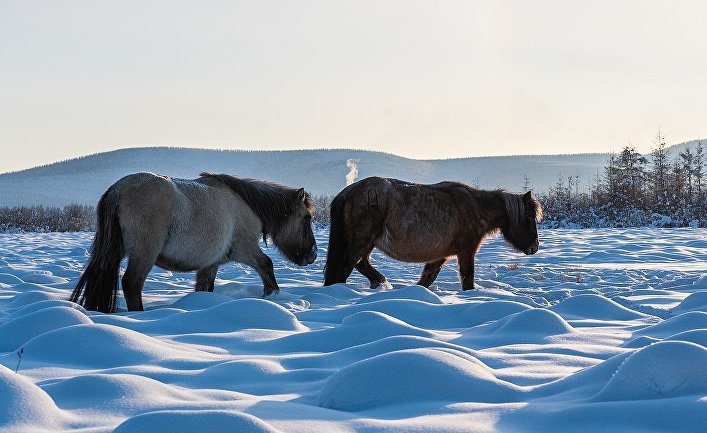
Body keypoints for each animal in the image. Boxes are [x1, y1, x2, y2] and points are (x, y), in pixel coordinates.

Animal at [70, 171, 318, 310]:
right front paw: (273, 296)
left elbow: (204, 288)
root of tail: (117, 190)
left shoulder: (211, 264)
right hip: (143, 254)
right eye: (307, 218)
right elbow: (266, 265)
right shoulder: (244, 249)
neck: (247, 205)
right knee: (132, 283)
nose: (313, 254)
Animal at [324, 176, 544, 290]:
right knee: (346, 267)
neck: (475, 206)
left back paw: (380, 283)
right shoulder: (466, 250)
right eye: (528, 217)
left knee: (360, 264)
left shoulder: (441, 255)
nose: (534, 247)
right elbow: (467, 278)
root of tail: (349, 192)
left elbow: (427, 278)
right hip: (362, 241)